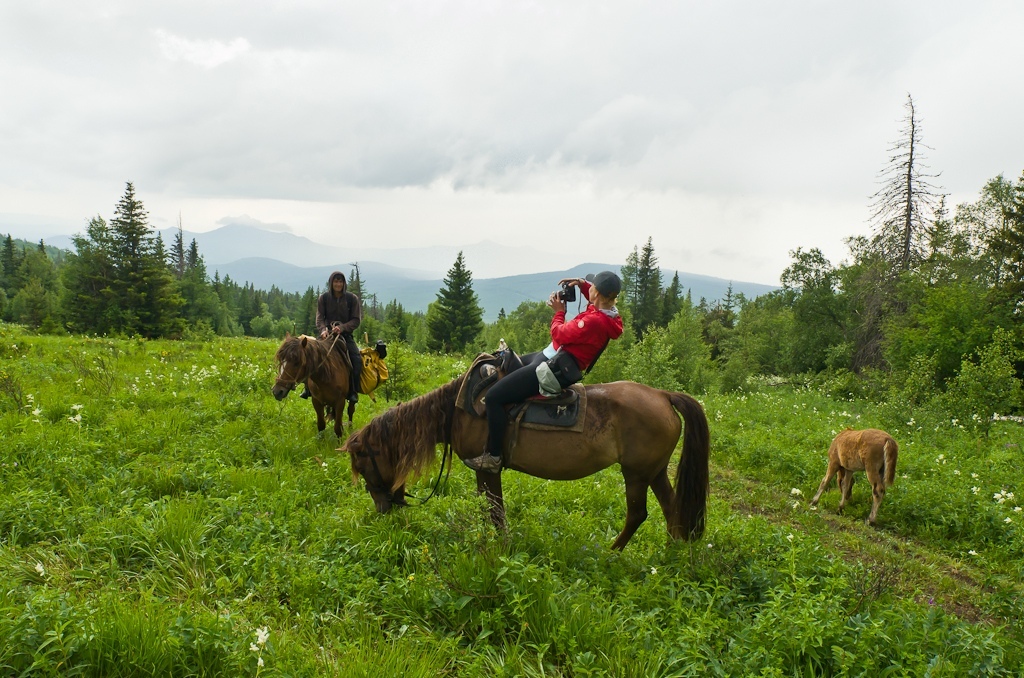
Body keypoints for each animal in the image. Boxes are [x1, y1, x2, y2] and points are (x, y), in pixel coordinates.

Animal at [339, 376, 708, 553]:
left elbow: (495, 511)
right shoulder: (484, 472)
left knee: (638, 514)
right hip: (654, 471)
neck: (457, 410)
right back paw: (670, 553)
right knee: (671, 509)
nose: (383, 507)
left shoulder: (487, 467)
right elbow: (489, 509)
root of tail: (663, 396)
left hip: (636, 473)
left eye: (363, 463)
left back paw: (611, 552)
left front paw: (500, 548)